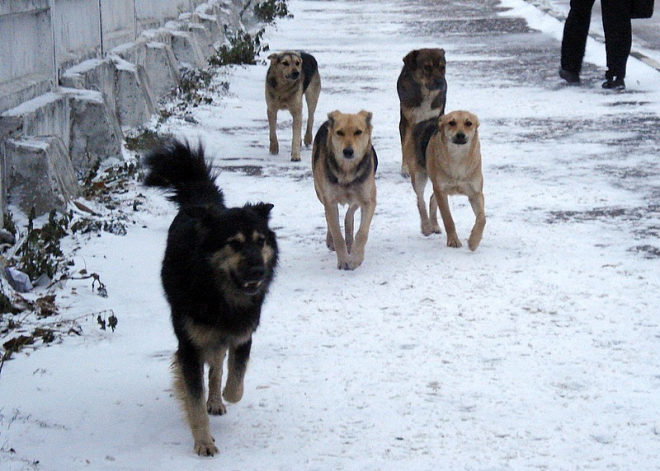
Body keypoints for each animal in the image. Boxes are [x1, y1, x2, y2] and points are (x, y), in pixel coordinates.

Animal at [143, 140, 278, 458]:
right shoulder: (190, 345)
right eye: (235, 244)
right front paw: (203, 442)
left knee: (217, 365)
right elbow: (194, 398)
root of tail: (203, 202)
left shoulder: (242, 334)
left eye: (261, 241)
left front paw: (224, 396)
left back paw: (216, 399)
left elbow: (235, 382)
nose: (259, 270)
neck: (220, 294)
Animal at [312, 110, 378, 272]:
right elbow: (337, 233)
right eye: (339, 132)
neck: (347, 171)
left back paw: (350, 242)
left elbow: (362, 232)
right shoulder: (329, 200)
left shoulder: (369, 200)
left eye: (358, 132)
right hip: (319, 192)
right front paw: (343, 260)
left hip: (359, 195)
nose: (348, 151)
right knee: (330, 217)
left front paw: (356, 259)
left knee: (350, 213)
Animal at [398, 48, 448, 177]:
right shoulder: (407, 121)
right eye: (427, 67)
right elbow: (406, 145)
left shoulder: (436, 117)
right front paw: (405, 168)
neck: (426, 93)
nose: (441, 82)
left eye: (442, 67)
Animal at [412, 109, 484, 251]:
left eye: (469, 123)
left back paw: (434, 225)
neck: (458, 158)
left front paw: (474, 241)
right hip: (419, 176)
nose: (460, 135)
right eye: (452, 122)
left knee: (431, 199)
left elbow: (482, 218)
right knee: (420, 200)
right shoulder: (441, 190)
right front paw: (453, 241)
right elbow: (448, 218)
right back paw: (426, 227)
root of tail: (427, 120)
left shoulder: (475, 193)